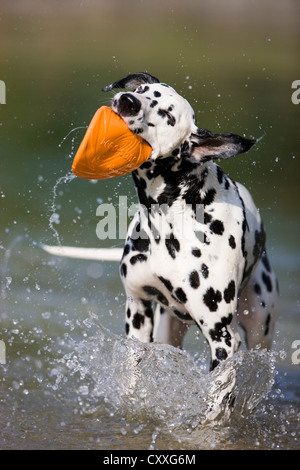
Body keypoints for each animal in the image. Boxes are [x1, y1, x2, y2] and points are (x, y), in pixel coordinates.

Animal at [103, 71, 278, 370]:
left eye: (168, 114)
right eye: (141, 89)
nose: (127, 100)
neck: (169, 216)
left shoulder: (222, 338)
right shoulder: (138, 310)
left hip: (259, 331)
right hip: (167, 329)